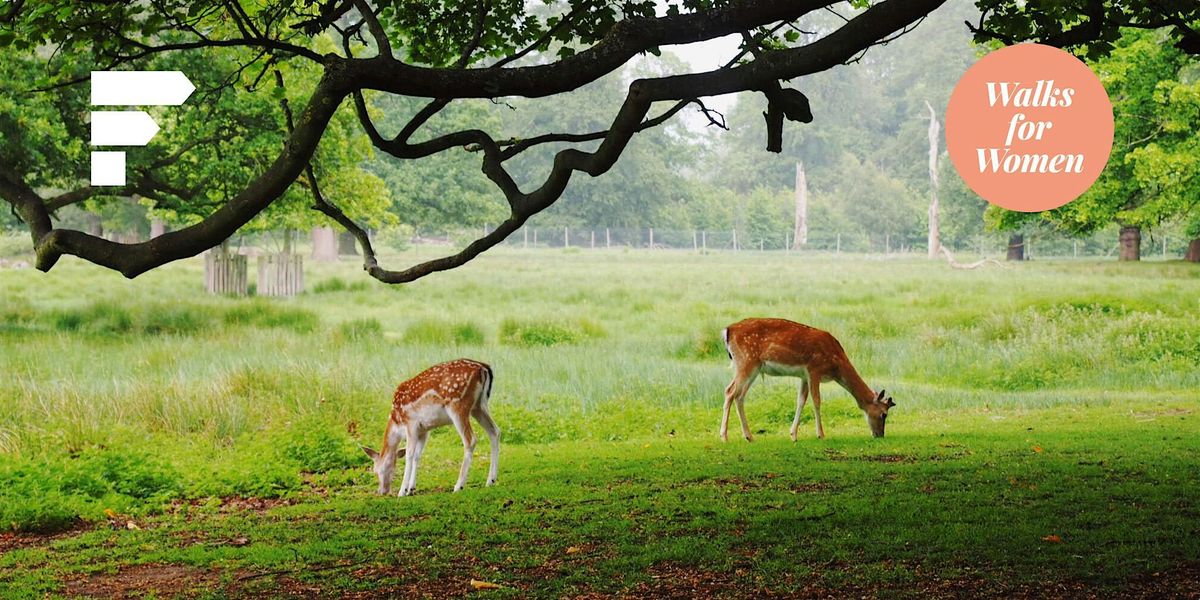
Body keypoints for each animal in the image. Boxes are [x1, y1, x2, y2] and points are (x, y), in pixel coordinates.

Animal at [360, 357, 501, 494]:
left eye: (377, 469)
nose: (382, 491)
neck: (397, 422)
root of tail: (483, 368)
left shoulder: (411, 424)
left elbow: (409, 454)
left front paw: (402, 491)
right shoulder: (424, 430)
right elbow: (417, 455)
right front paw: (411, 489)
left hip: (458, 405)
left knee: (470, 439)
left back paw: (458, 486)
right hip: (479, 406)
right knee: (495, 431)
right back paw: (491, 480)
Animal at [720, 319, 892, 441]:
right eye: (884, 414)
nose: (880, 435)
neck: (836, 364)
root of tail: (727, 331)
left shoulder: (803, 375)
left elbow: (801, 401)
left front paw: (793, 435)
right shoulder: (814, 369)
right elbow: (816, 400)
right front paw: (821, 434)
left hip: (750, 367)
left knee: (738, 395)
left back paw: (748, 436)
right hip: (747, 361)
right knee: (730, 391)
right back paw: (724, 437)